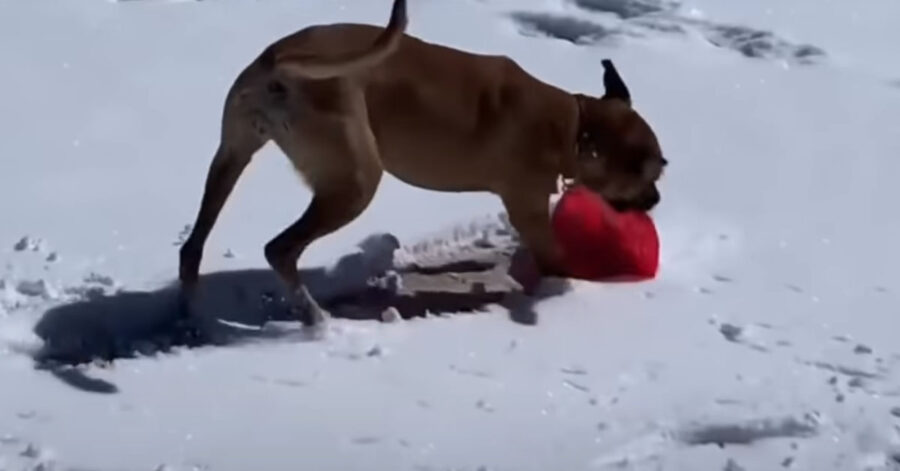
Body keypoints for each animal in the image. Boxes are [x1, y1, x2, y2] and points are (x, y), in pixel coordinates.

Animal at [178, 0, 668, 324]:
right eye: (653, 171)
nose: (656, 199)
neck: (575, 126)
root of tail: (280, 60)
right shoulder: (526, 206)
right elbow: (553, 255)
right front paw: (564, 289)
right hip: (355, 181)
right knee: (279, 249)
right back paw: (317, 320)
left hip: (231, 154)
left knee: (193, 244)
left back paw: (191, 313)